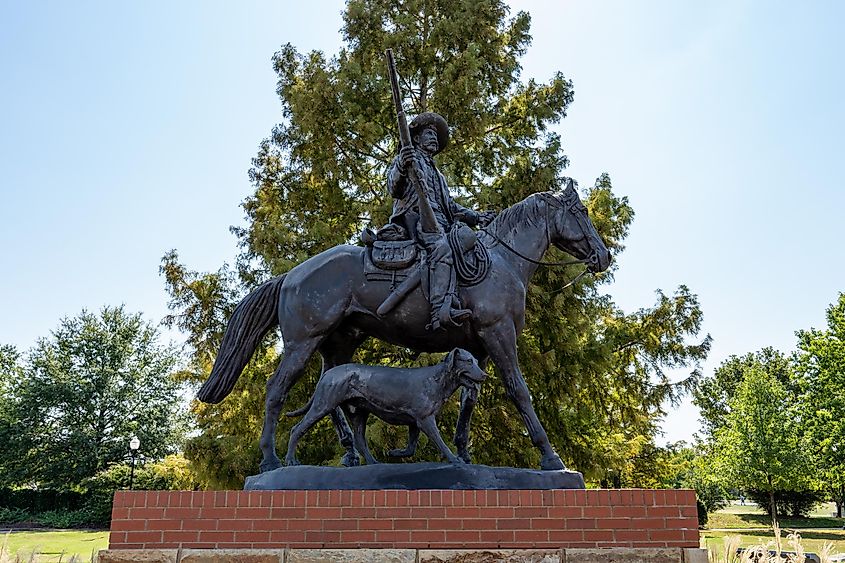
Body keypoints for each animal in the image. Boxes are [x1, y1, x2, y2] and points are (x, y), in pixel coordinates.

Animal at [284, 348, 484, 468]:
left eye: (476, 360)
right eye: (468, 361)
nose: (485, 375)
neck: (438, 380)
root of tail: (328, 373)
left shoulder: (414, 422)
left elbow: (411, 448)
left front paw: (395, 452)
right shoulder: (425, 420)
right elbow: (441, 443)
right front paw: (455, 459)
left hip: (359, 413)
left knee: (359, 439)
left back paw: (374, 462)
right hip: (323, 405)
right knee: (297, 429)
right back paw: (291, 461)